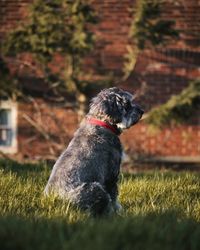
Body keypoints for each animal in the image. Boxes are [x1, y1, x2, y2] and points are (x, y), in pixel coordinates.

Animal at [44, 87, 143, 216]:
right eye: (127, 104)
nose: (142, 111)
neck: (103, 124)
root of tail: (57, 202)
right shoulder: (111, 174)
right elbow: (114, 196)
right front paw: (118, 211)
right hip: (95, 189)